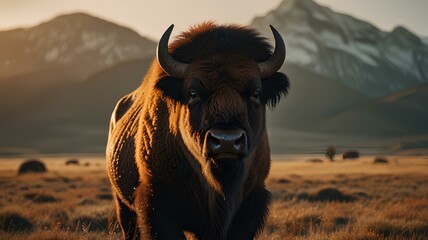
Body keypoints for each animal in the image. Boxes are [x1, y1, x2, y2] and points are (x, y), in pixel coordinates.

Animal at [105, 21, 290, 239]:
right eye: (193, 93)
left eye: (256, 93)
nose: (227, 141)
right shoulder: (157, 202)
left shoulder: (251, 202)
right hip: (123, 205)